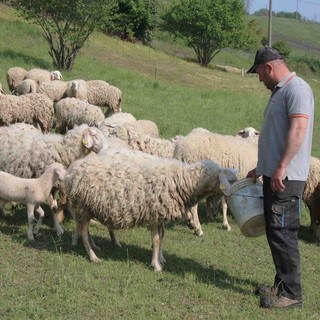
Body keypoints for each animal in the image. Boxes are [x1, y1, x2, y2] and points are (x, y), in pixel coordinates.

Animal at [64, 151, 238, 272]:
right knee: (83, 233)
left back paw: (94, 247)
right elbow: (156, 240)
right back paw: (93, 257)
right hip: (82, 207)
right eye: (226, 179)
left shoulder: (160, 215)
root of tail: (71, 170)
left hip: (87, 208)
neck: (183, 182)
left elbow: (162, 236)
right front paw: (156, 265)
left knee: (84, 230)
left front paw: (161, 258)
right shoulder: (155, 215)